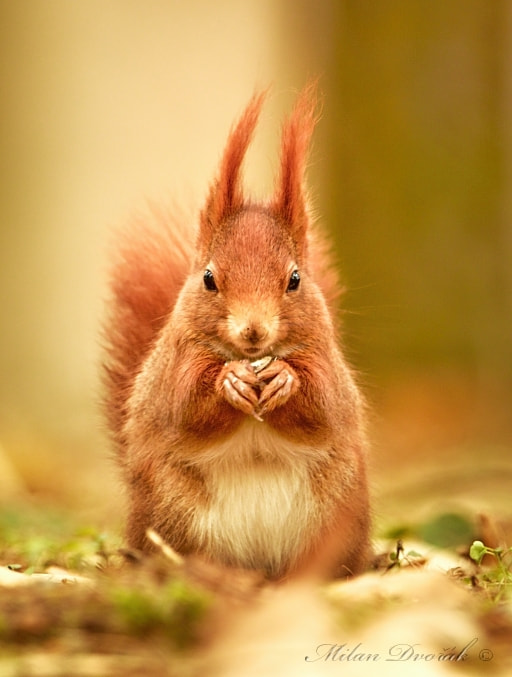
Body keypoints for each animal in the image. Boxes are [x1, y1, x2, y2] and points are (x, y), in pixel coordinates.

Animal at [102, 84, 370, 580]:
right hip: (173, 512)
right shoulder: (176, 363)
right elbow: (185, 405)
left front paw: (285, 379)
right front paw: (229, 382)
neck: (248, 356)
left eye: (295, 279)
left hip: (336, 512)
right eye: (209, 278)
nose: (254, 331)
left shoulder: (324, 359)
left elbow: (323, 405)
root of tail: (257, 565)